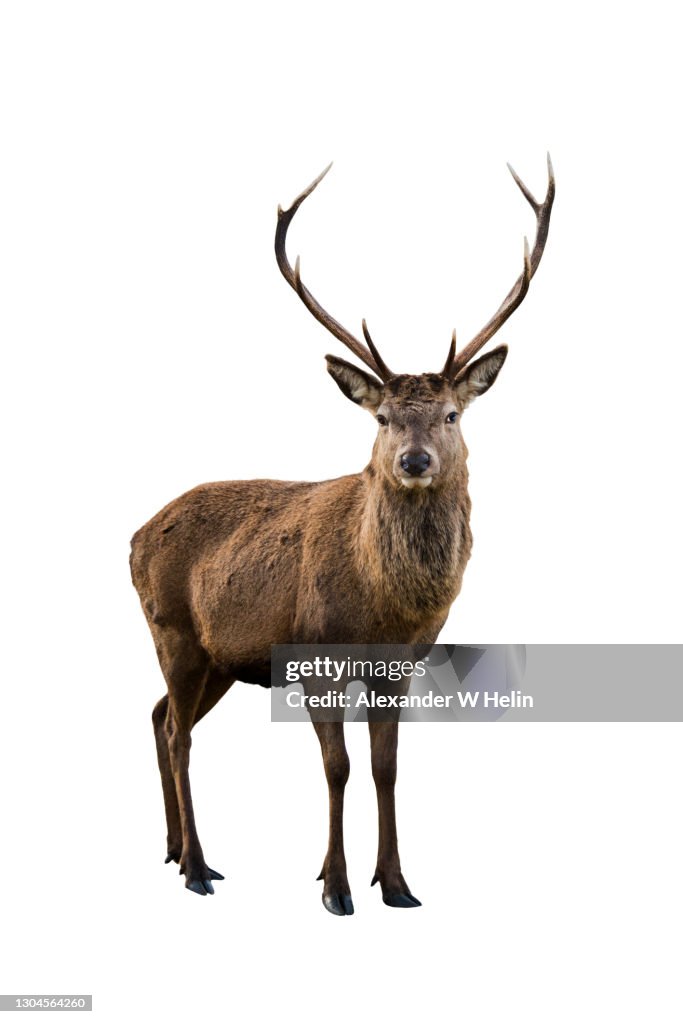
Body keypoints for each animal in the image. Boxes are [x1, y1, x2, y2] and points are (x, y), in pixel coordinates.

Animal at [130, 156, 554, 915]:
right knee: (177, 732)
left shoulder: (400, 665)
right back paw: (199, 867)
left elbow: (386, 767)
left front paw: (397, 884)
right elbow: (338, 766)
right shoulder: (314, 653)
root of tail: (131, 536)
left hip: (218, 658)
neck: (381, 609)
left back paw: (175, 849)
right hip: (171, 630)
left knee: (157, 717)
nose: (413, 461)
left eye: (450, 414)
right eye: (382, 418)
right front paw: (334, 885)